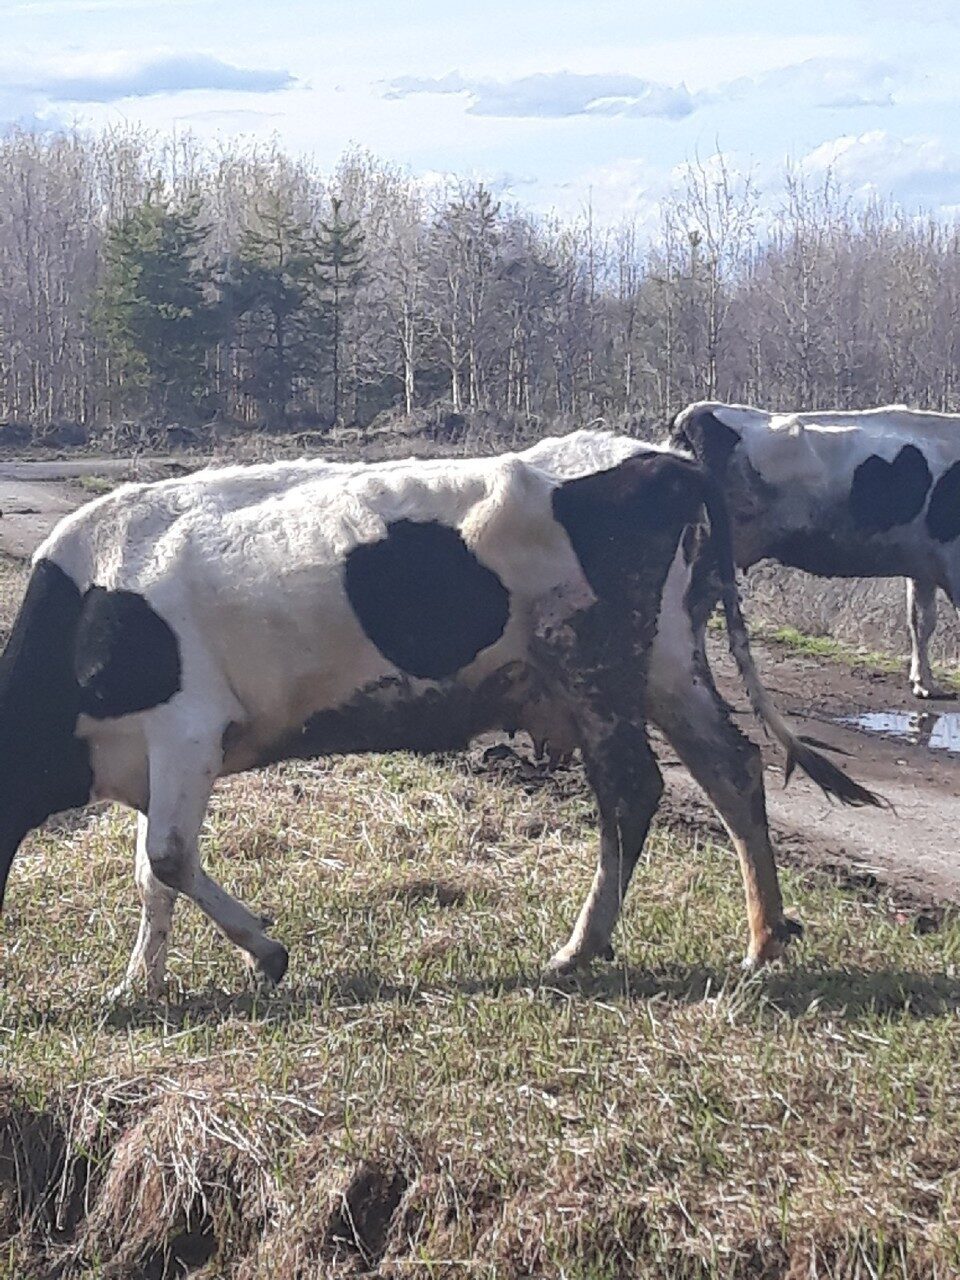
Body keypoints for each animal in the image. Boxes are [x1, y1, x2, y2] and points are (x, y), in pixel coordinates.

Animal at [0, 435, 880, 993]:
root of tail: (657, 457)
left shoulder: (189, 726)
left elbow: (170, 859)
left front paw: (259, 956)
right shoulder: (149, 757)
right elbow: (152, 872)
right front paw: (144, 983)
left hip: (593, 667)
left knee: (634, 789)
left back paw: (579, 949)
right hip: (665, 661)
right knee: (732, 768)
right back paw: (763, 939)